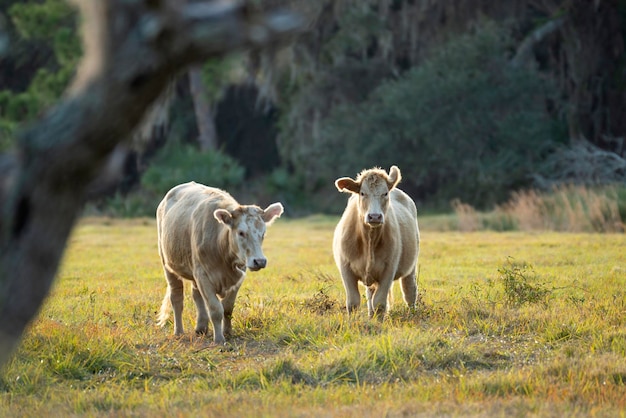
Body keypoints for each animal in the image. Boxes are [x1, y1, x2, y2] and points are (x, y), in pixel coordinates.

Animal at [156, 182, 282, 342]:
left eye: (263, 233)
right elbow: (215, 309)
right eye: (241, 232)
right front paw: (219, 339)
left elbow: (227, 308)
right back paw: (179, 331)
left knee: (196, 295)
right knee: (177, 298)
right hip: (168, 265)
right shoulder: (203, 276)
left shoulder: (238, 276)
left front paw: (227, 332)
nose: (259, 261)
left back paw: (201, 327)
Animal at [332, 166, 420, 316]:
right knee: (370, 295)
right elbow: (353, 302)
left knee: (409, 290)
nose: (374, 216)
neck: (369, 239)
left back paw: (413, 312)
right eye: (362, 193)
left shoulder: (389, 270)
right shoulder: (346, 268)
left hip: (411, 266)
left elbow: (379, 303)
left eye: (385, 193)